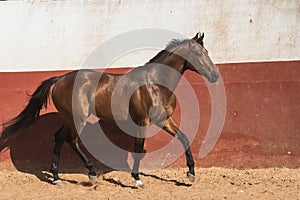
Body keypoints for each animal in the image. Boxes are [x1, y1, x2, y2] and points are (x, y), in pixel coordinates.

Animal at [1, 32, 219, 188]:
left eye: (207, 52)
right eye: (198, 53)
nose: (215, 76)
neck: (156, 84)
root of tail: (60, 79)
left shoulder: (164, 120)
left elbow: (184, 138)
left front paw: (190, 174)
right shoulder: (142, 122)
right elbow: (138, 148)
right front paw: (137, 180)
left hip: (69, 118)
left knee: (59, 138)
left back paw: (56, 177)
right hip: (78, 118)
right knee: (71, 140)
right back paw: (90, 173)